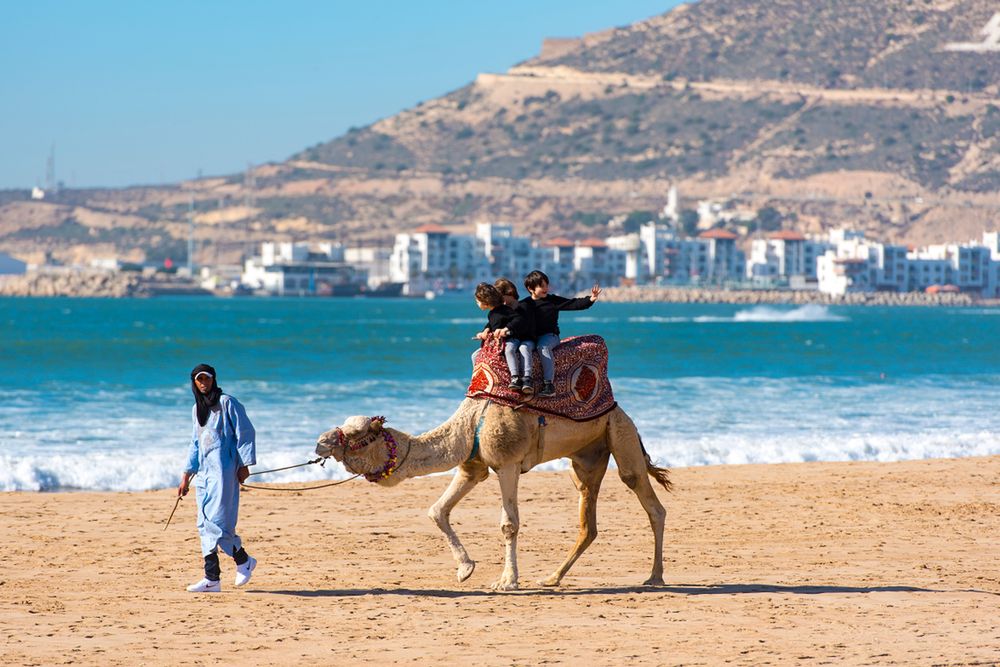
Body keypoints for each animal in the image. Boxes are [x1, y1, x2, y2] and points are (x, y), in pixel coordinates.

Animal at [314, 396, 672, 588]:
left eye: (357, 436)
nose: (320, 442)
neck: (469, 424)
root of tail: (621, 410)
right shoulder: (472, 466)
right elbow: (437, 510)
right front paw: (465, 569)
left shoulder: (508, 463)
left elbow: (509, 523)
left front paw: (507, 581)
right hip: (586, 458)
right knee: (588, 523)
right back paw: (552, 578)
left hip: (620, 433)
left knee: (648, 499)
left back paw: (654, 577)